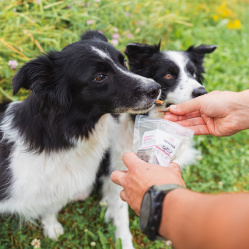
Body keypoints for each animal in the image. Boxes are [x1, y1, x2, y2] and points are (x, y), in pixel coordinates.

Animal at [100, 40, 217, 247]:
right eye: (168, 75)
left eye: (194, 73)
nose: (202, 92)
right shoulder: (118, 166)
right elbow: (121, 213)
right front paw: (125, 242)